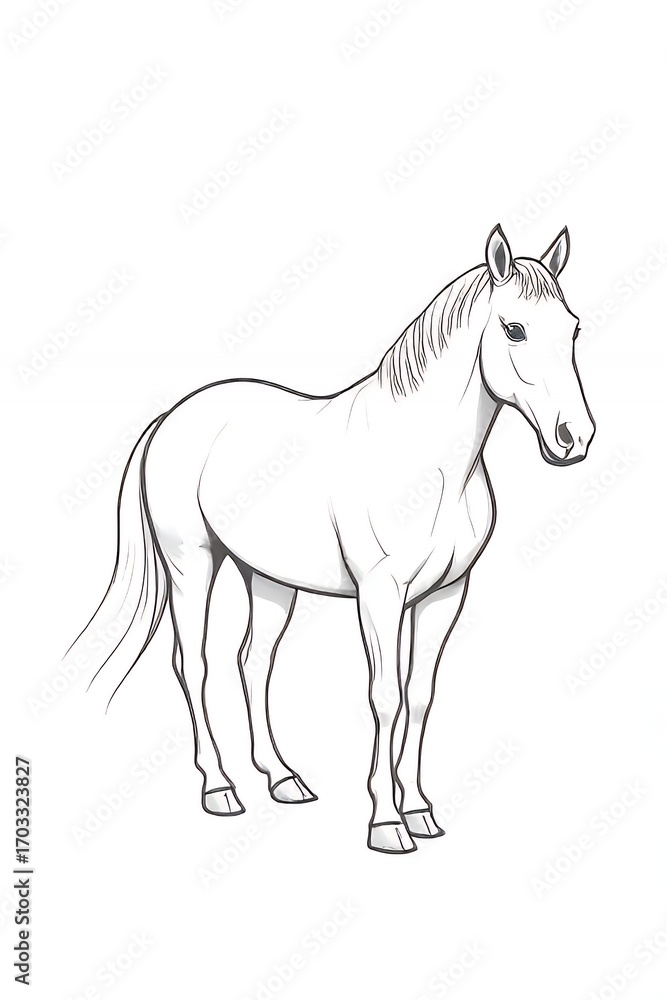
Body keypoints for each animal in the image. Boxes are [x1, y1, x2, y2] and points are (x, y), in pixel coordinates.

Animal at [69, 224, 595, 854]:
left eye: (573, 329)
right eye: (514, 328)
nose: (574, 438)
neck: (426, 463)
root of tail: (174, 415)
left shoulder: (448, 595)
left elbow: (420, 695)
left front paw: (420, 810)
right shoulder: (380, 594)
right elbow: (386, 695)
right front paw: (387, 823)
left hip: (268, 578)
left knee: (252, 664)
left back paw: (283, 779)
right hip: (191, 563)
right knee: (192, 664)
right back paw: (220, 788)